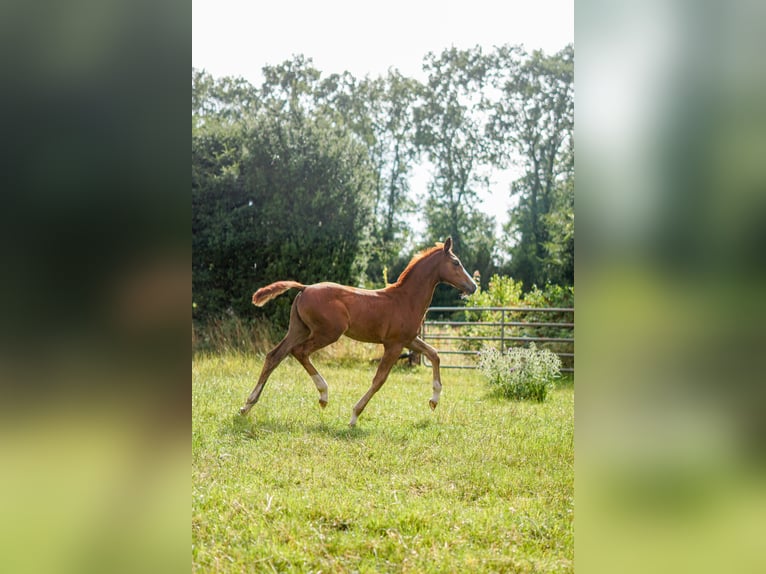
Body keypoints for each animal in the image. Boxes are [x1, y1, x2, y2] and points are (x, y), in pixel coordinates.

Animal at [242, 238, 480, 428]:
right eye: (456, 263)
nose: (473, 287)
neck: (405, 299)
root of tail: (305, 288)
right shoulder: (393, 345)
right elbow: (379, 379)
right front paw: (354, 416)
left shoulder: (409, 340)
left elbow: (434, 354)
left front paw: (434, 400)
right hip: (327, 333)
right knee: (299, 352)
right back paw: (323, 395)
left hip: (299, 329)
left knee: (275, 355)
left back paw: (247, 405)